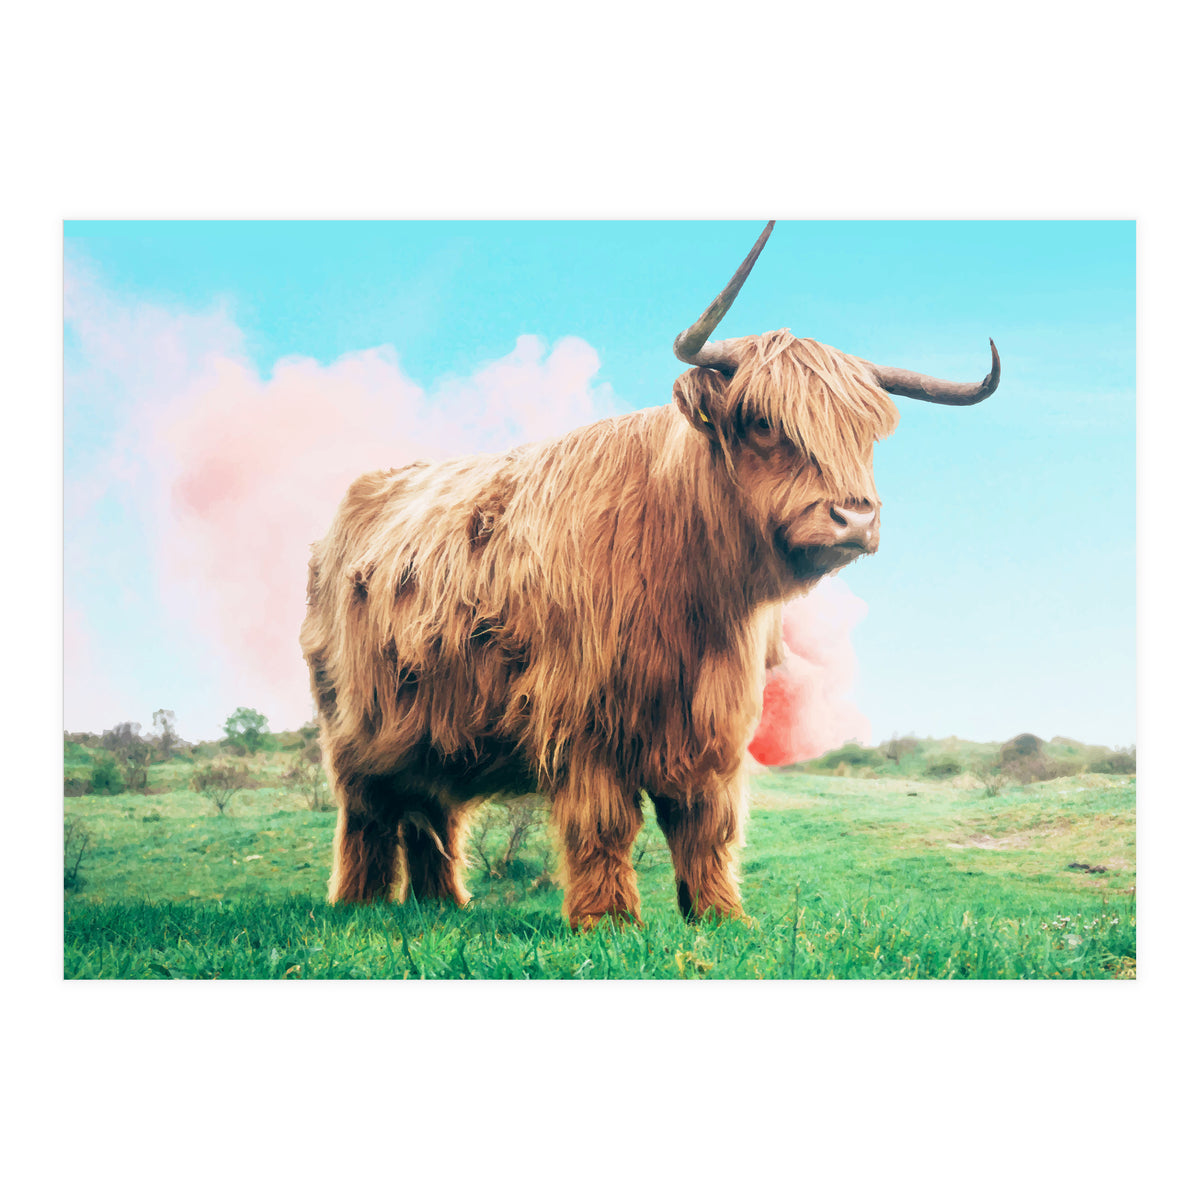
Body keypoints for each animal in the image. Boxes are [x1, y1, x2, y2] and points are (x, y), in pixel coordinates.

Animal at [299, 222, 999, 929]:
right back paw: (359, 904)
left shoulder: (713, 720)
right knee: (368, 813)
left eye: (865, 435)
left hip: (431, 725)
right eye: (764, 422)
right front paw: (608, 920)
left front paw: (719, 914)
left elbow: (706, 823)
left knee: (430, 810)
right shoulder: (584, 715)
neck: (693, 592)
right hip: (355, 726)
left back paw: (442, 904)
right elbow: (604, 822)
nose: (855, 518)